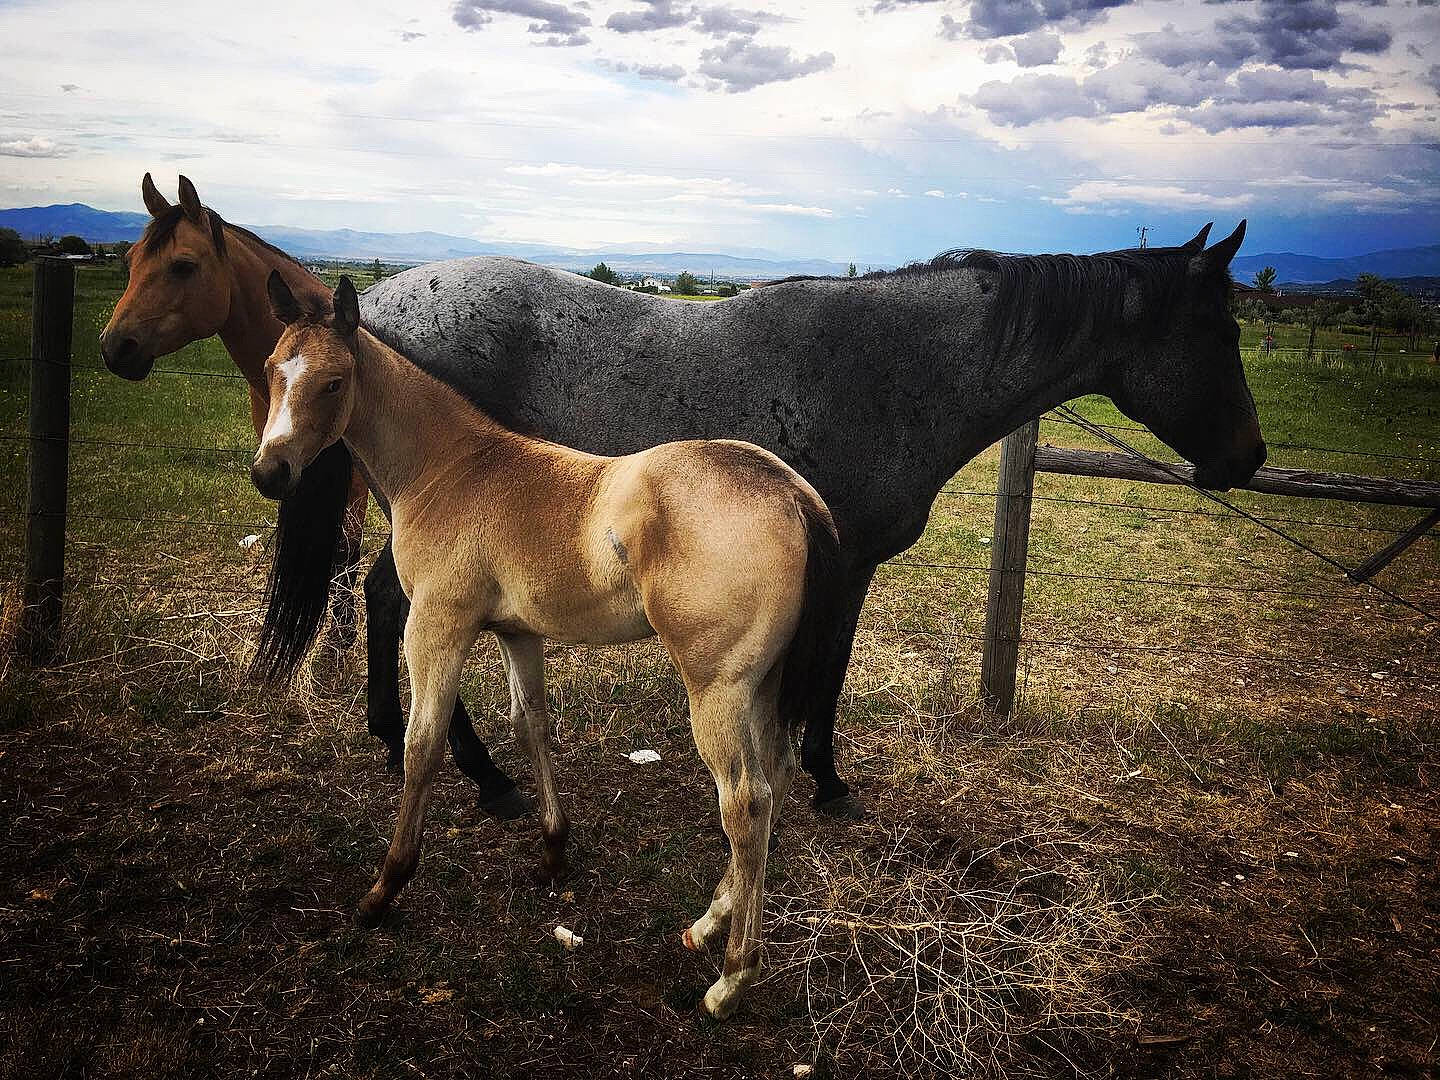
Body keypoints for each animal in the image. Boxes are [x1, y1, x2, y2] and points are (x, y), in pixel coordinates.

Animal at [253, 272, 842, 1021]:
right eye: (273, 367)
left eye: (333, 382)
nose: (270, 472)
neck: (450, 467)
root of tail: (793, 492)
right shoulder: (518, 633)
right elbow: (531, 724)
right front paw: (555, 852)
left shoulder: (437, 626)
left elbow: (423, 743)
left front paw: (385, 888)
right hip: (764, 682)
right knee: (777, 776)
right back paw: (707, 924)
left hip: (717, 688)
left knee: (746, 801)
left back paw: (732, 977)